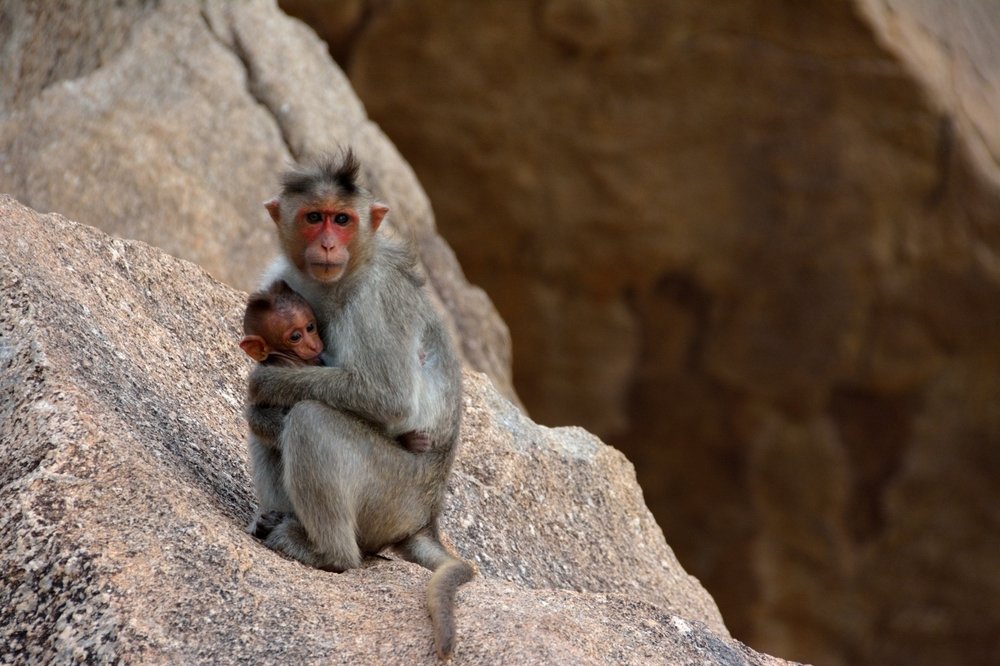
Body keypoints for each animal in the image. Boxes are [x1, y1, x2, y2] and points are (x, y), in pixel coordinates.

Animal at [245, 149, 473, 660]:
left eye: (343, 220)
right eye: (314, 218)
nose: (329, 244)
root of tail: (427, 517)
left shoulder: (377, 299)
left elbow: (387, 397)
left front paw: (265, 381)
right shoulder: (279, 278)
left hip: (394, 492)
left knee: (310, 420)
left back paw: (327, 553)